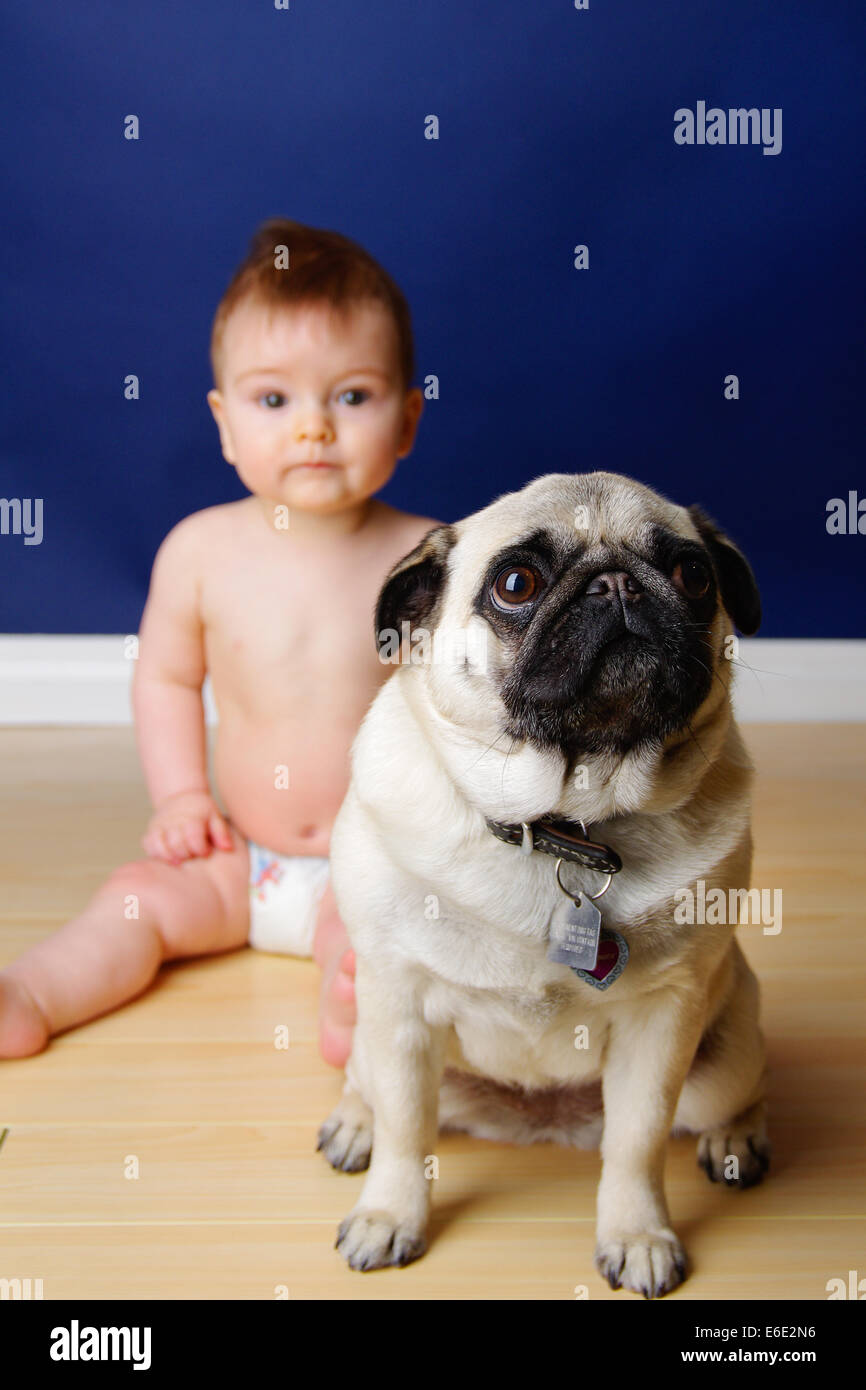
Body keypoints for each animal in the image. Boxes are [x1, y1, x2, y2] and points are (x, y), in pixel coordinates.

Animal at [319, 472, 772, 1295]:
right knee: (371, 1085)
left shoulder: (664, 1021)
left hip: (722, 1057)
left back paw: (736, 1138)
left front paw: (637, 1233)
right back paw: (354, 1122)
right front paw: (389, 1214)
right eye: (516, 584)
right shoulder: (397, 1001)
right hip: (371, 1033)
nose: (617, 583)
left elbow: (636, 1143)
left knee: (739, 1091)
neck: (566, 825)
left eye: (693, 574)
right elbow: (406, 1131)